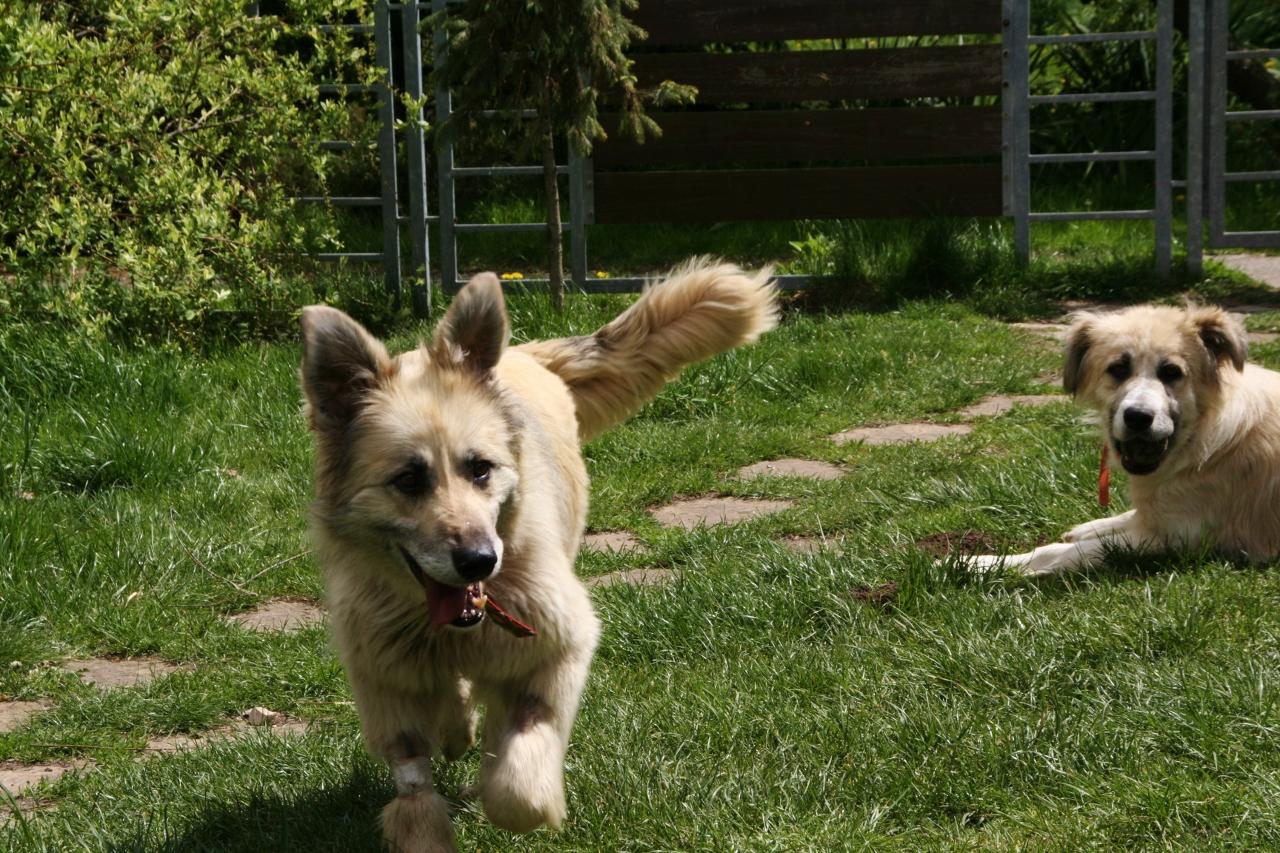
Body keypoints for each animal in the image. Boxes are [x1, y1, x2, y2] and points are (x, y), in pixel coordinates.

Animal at [299, 260, 777, 851]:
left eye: (480, 468)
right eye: (409, 479)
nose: (480, 561)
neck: (451, 628)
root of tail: (524, 353)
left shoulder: (558, 641)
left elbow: (517, 780)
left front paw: (511, 787)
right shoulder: (386, 676)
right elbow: (415, 788)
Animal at [961, 303, 1280, 576]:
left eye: (1171, 372)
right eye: (1118, 369)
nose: (1138, 417)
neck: (1203, 440)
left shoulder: (1180, 540)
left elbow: (1062, 552)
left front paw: (982, 564)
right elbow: (1133, 516)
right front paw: (1091, 525)